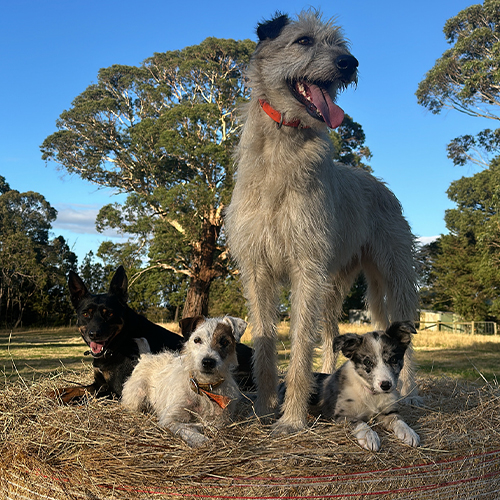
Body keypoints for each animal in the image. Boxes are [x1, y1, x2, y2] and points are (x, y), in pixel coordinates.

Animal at [225, 10, 420, 434]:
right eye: (303, 41)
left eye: (340, 45)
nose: (350, 62)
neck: (282, 145)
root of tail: (379, 184)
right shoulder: (258, 270)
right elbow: (266, 343)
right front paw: (264, 408)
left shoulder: (306, 269)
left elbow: (300, 345)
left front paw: (292, 419)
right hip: (334, 285)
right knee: (332, 334)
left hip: (394, 276)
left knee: (404, 333)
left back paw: (411, 393)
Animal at [316, 322, 418, 452]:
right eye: (368, 362)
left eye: (393, 359)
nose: (386, 385)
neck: (371, 394)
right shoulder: (341, 416)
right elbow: (359, 422)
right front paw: (369, 436)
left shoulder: (388, 412)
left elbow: (398, 419)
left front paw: (409, 432)